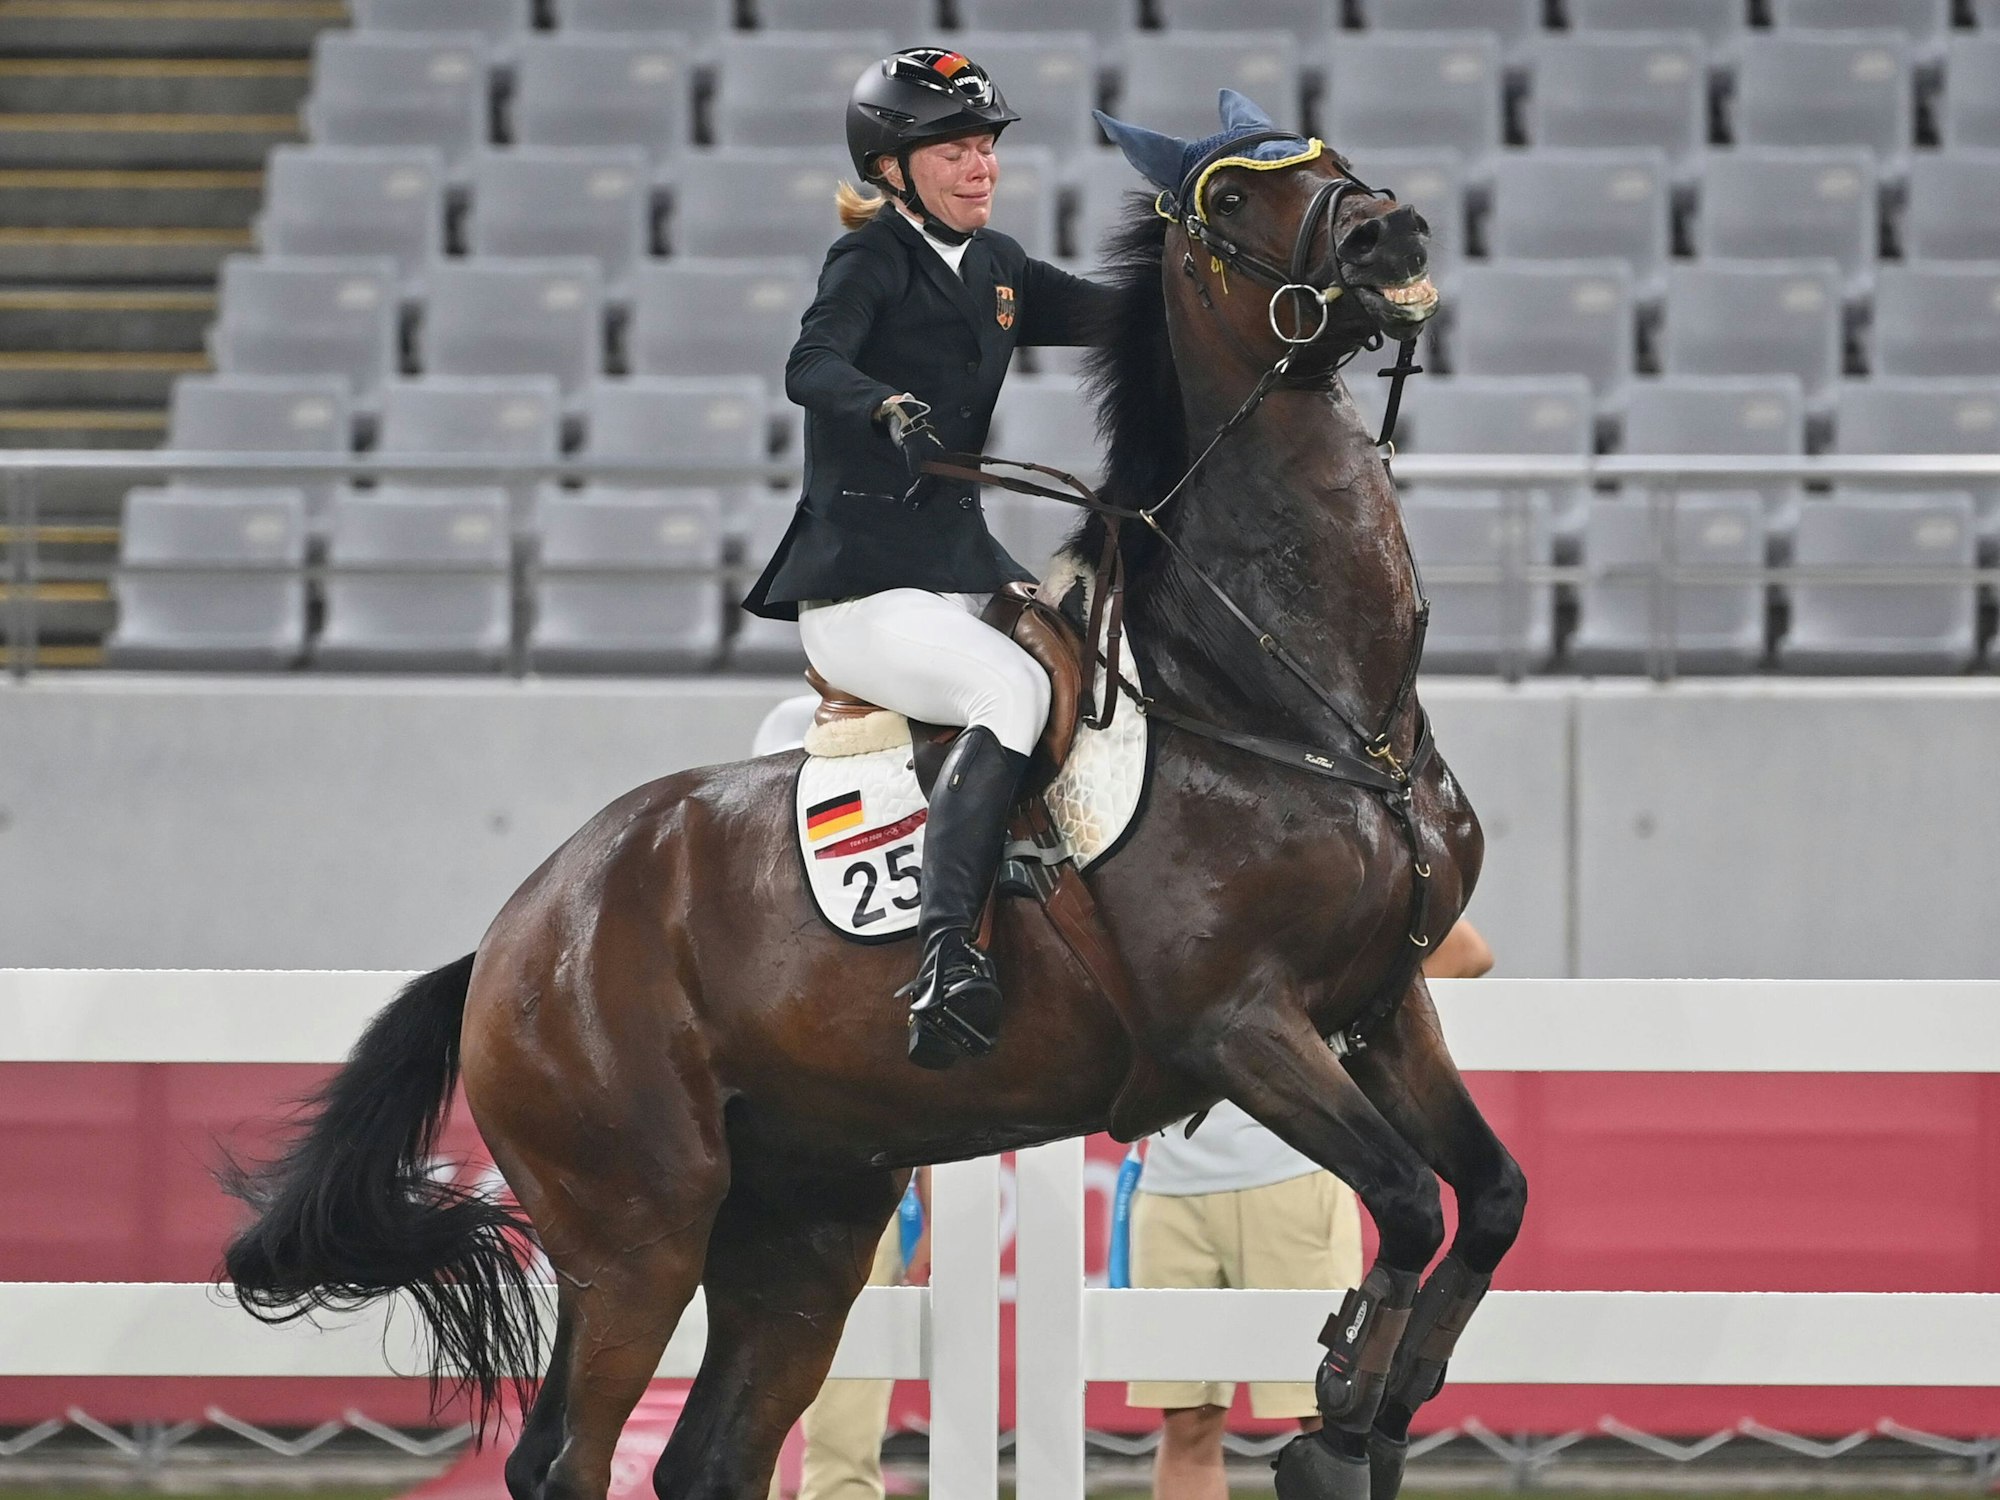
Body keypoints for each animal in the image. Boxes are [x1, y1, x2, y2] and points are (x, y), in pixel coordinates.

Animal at [222, 130, 1527, 1500]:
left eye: (1327, 156)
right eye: (1229, 195)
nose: (1392, 235)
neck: (1294, 699)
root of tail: (514, 934)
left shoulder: (1380, 1003)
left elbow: (1486, 1197)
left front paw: (1393, 1397)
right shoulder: (1238, 1026)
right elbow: (1406, 1199)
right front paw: (1334, 1420)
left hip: (803, 1224)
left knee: (710, 1456)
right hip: (634, 1230)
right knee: (566, 1456)